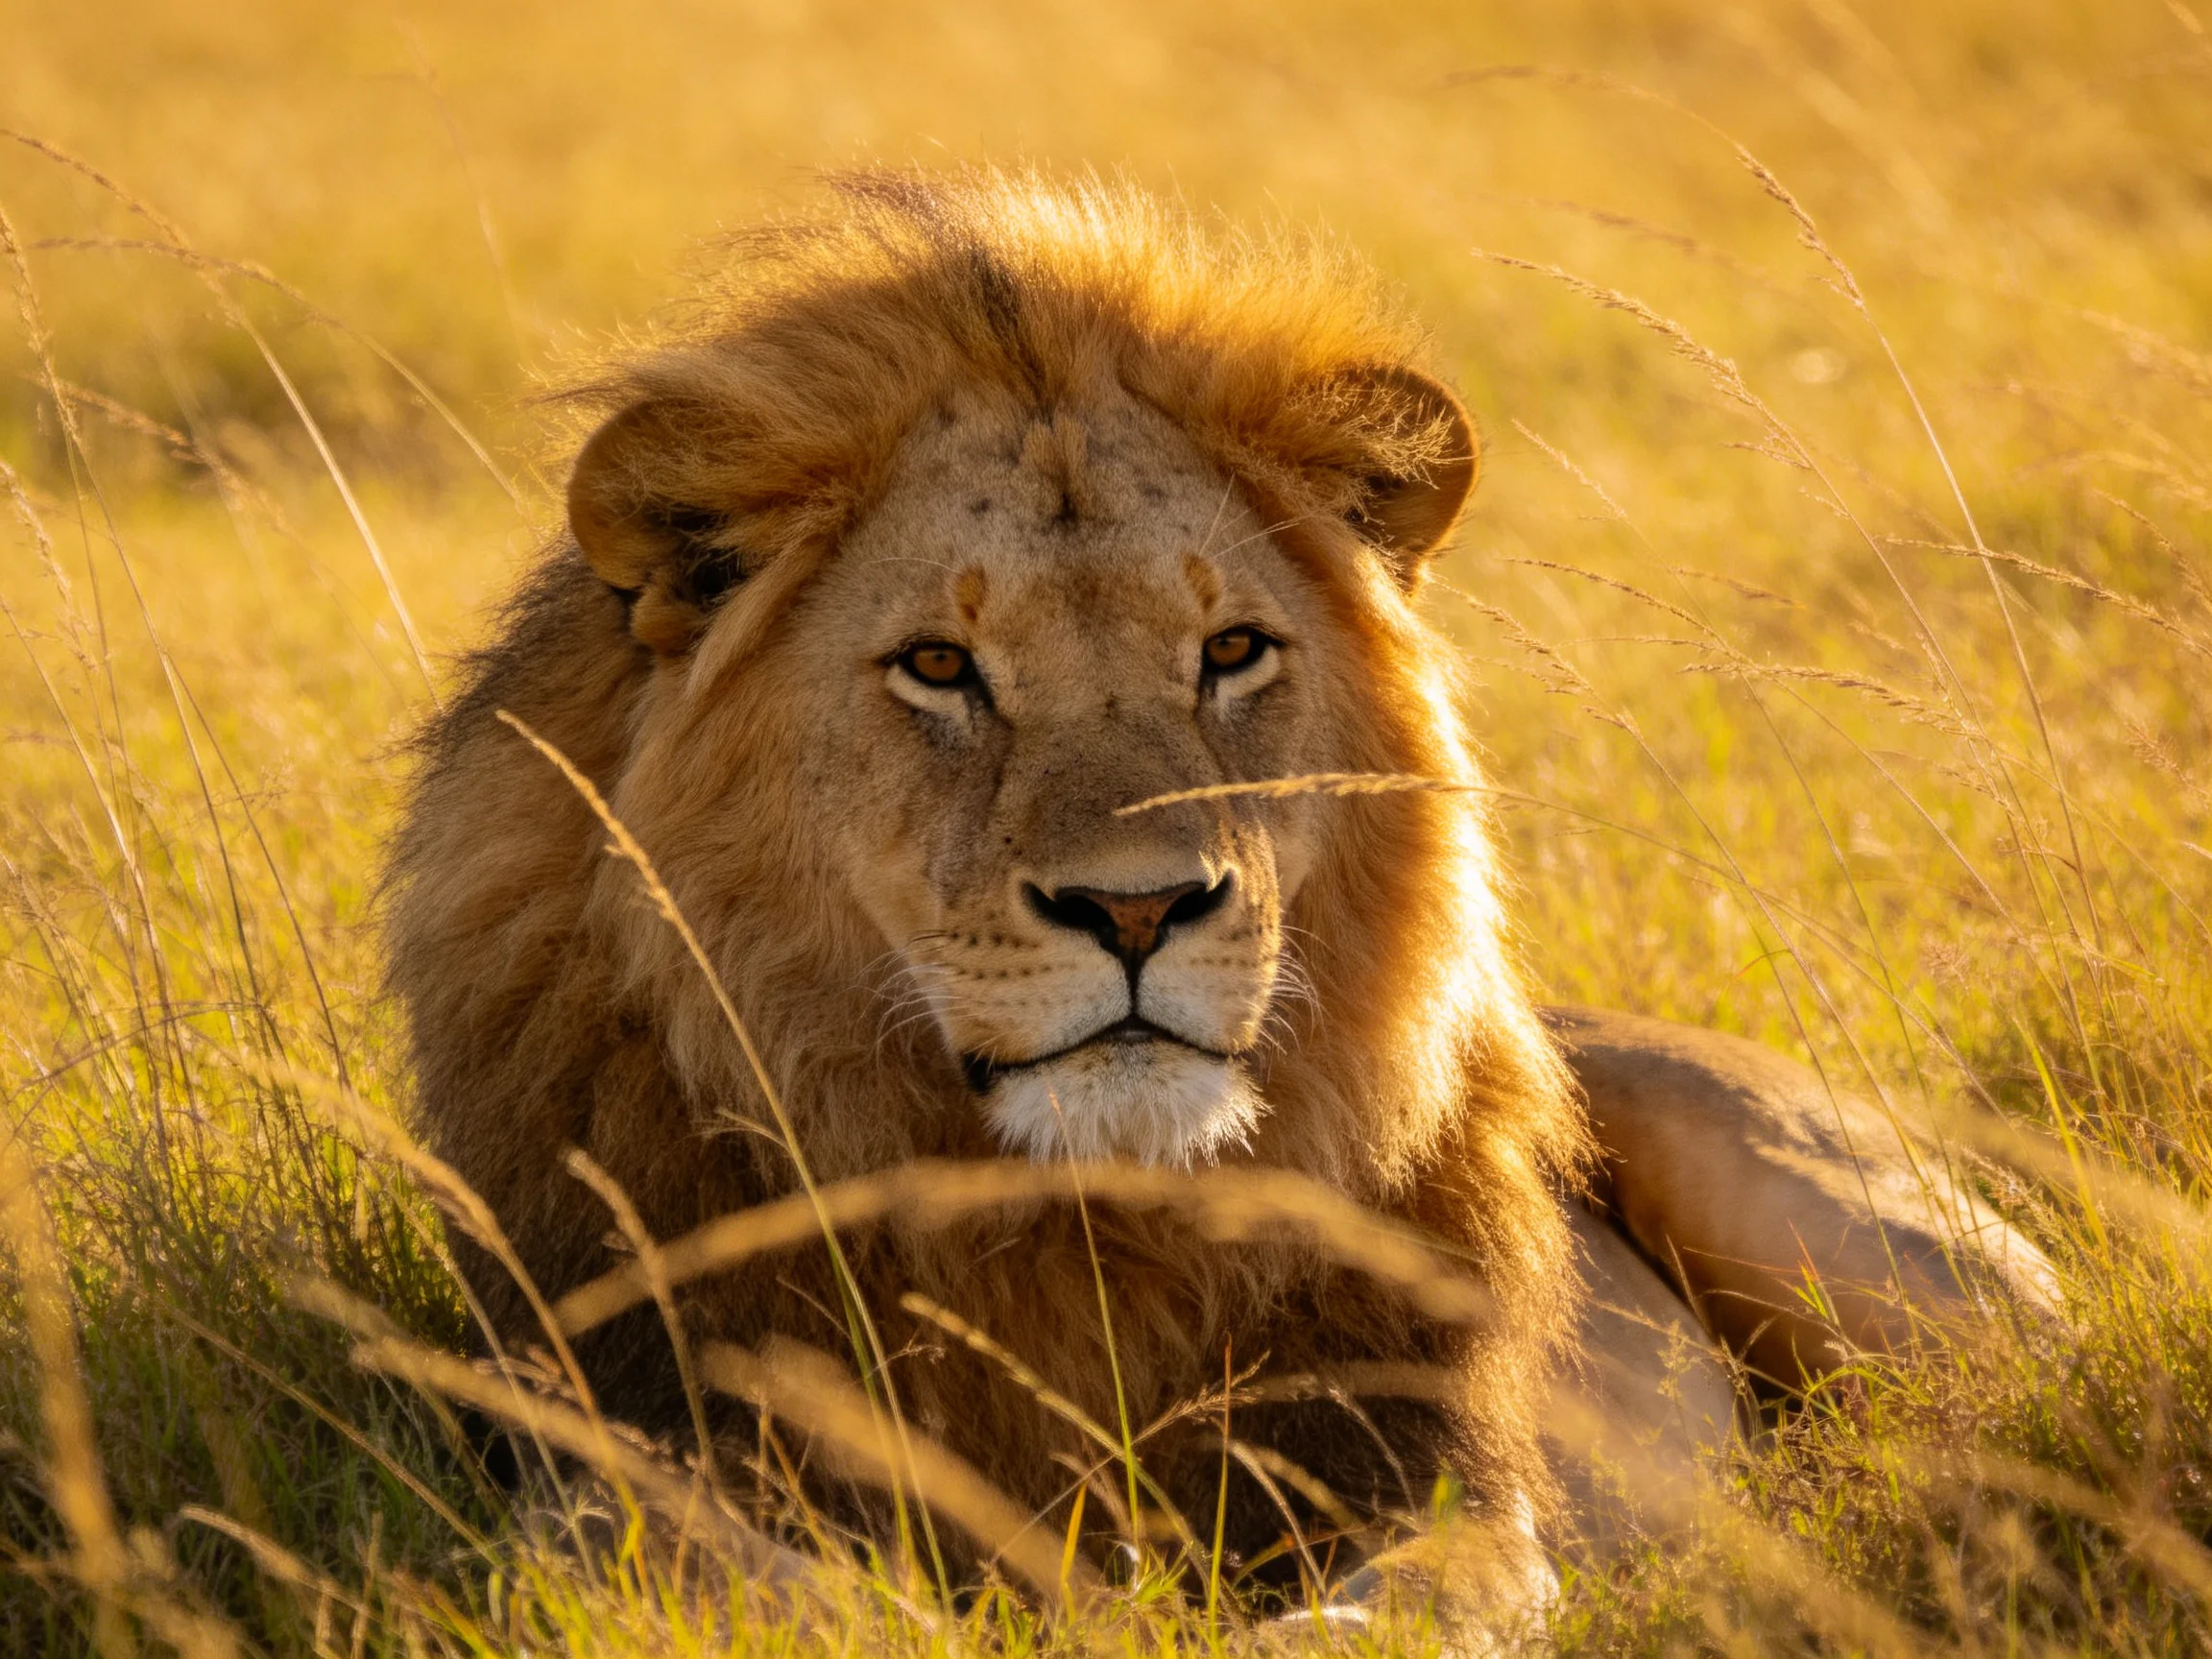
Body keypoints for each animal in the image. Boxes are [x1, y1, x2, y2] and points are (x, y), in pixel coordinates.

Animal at [387, 170, 2052, 1623]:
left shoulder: (1440, 1478)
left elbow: (1412, 1602)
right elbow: (704, 1566)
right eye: (938, 666)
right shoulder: (618, 1433)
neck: (1073, 1216)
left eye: (1232, 651)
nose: (1138, 913)